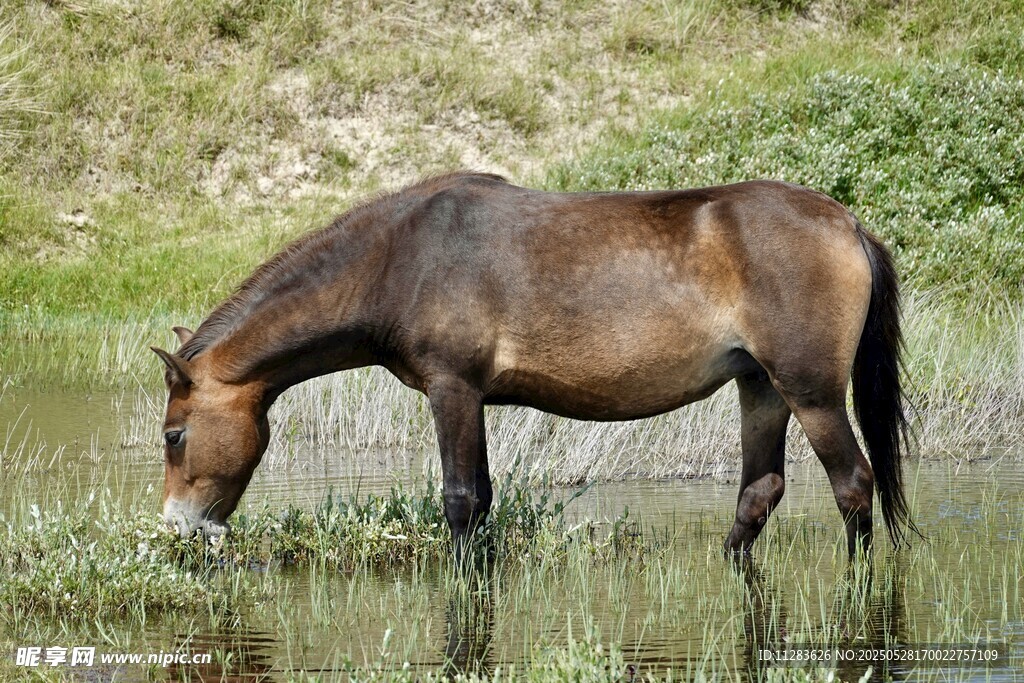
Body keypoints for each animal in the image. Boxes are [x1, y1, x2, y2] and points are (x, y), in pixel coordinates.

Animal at [152, 171, 914, 559]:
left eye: (173, 435)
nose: (178, 527)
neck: (400, 256)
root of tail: (847, 222)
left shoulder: (452, 390)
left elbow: (460, 502)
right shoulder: (474, 399)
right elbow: (484, 499)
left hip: (812, 394)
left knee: (853, 486)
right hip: (761, 388)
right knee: (758, 495)